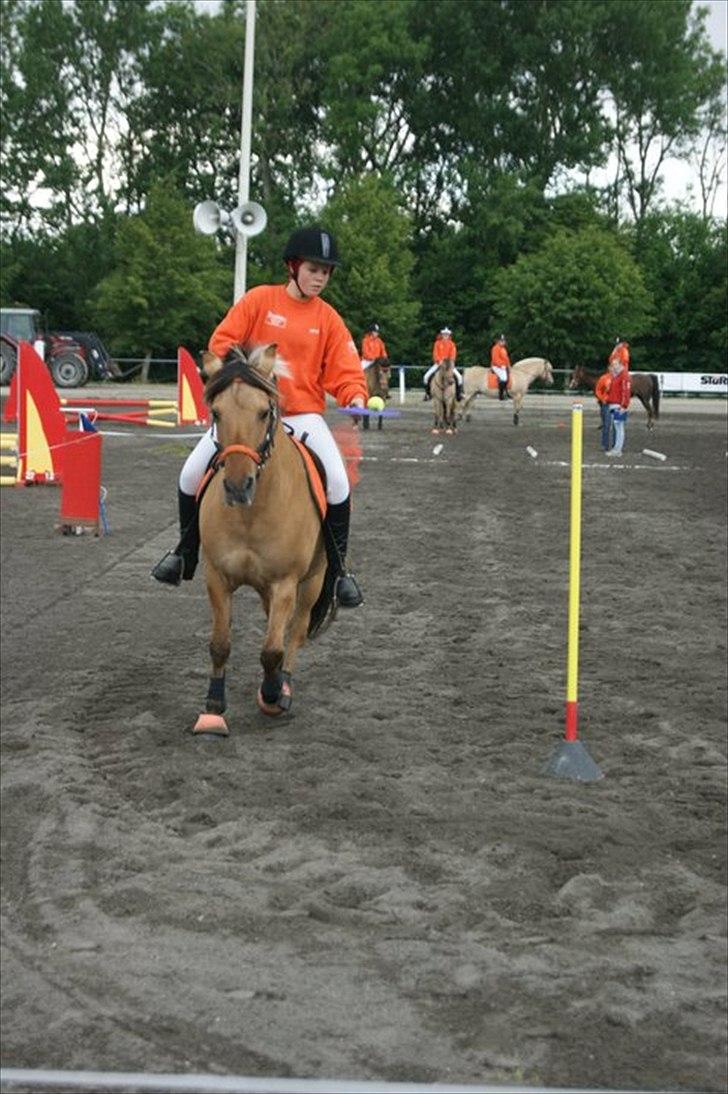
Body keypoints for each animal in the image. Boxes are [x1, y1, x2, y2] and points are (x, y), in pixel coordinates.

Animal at [192, 341, 328, 735]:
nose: (239, 487)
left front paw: (272, 695)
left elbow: (272, 650)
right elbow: (220, 643)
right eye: (216, 413)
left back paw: (283, 686)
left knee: (294, 633)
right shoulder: (217, 578)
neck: (251, 515)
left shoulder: (286, 583)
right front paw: (213, 706)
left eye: (264, 412)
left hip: (313, 581)